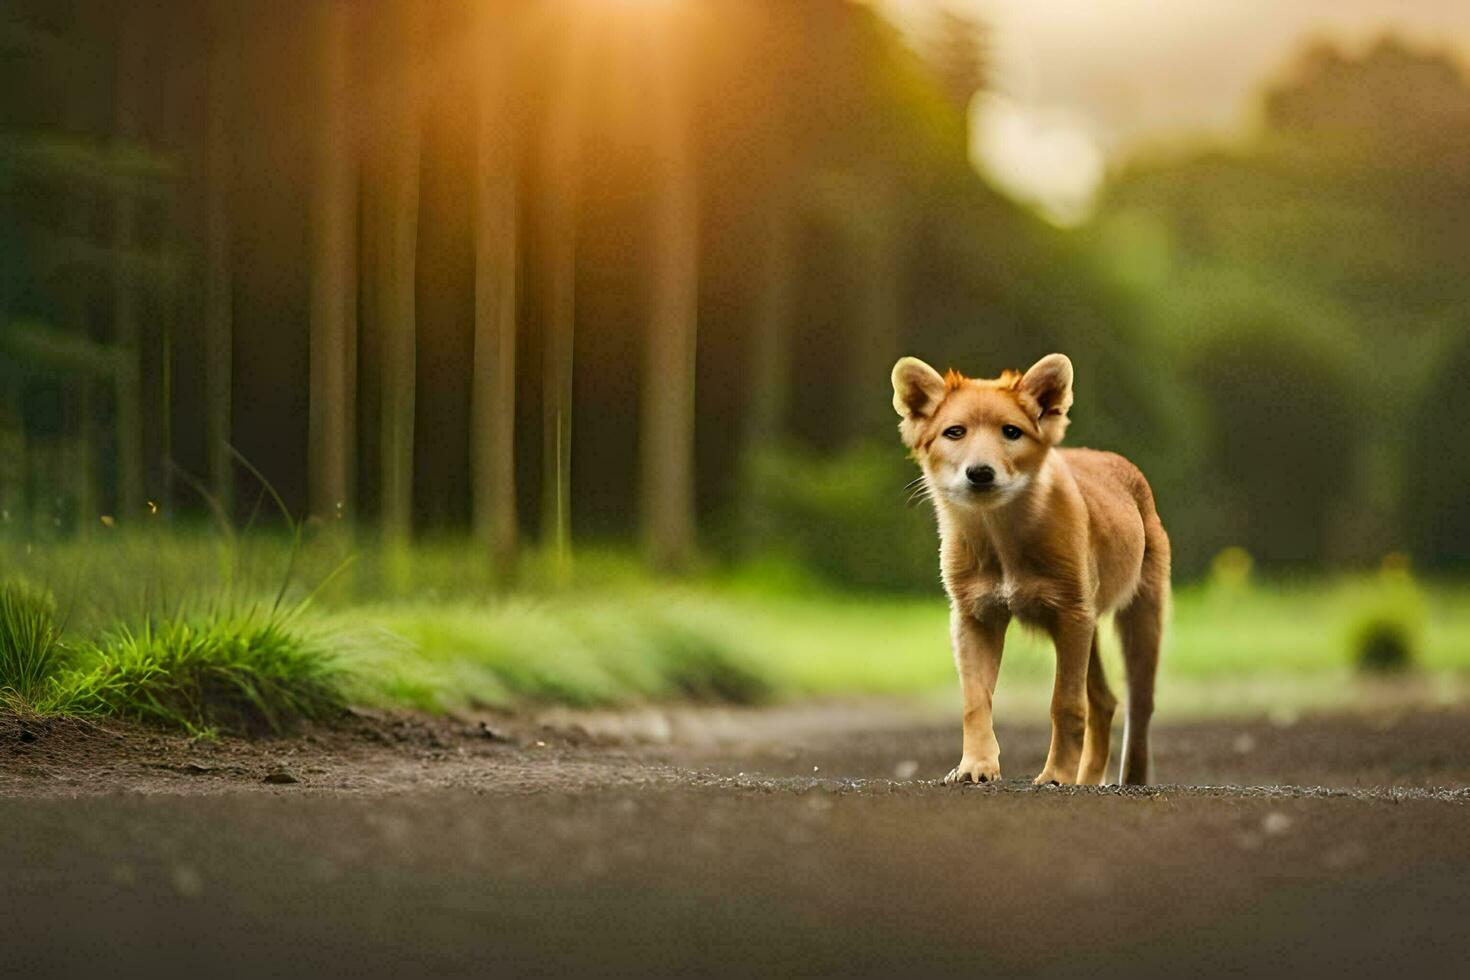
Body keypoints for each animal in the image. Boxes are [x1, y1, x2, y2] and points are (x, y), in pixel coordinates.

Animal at [882, 357, 1170, 787]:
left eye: (1011, 432)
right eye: (954, 432)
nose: (979, 473)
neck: (1001, 541)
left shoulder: (1071, 614)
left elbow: (1065, 703)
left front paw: (1056, 775)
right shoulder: (975, 617)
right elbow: (976, 701)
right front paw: (976, 766)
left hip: (1136, 616)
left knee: (1140, 703)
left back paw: (1129, 780)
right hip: (1084, 628)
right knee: (1103, 700)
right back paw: (1089, 780)